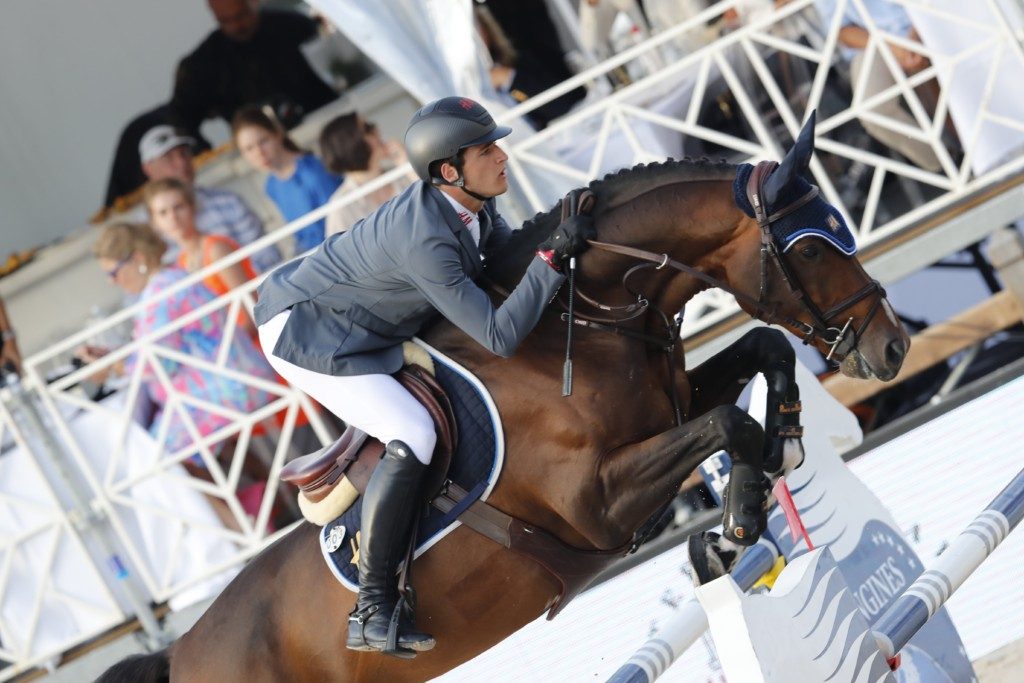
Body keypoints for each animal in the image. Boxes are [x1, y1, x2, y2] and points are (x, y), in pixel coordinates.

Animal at [99, 114, 909, 679]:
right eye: (811, 247)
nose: (893, 347)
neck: (579, 316)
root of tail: (181, 651)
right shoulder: (595, 501)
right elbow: (725, 423)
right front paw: (739, 522)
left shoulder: (667, 406)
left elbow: (761, 354)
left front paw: (786, 442)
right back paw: (381, 624)